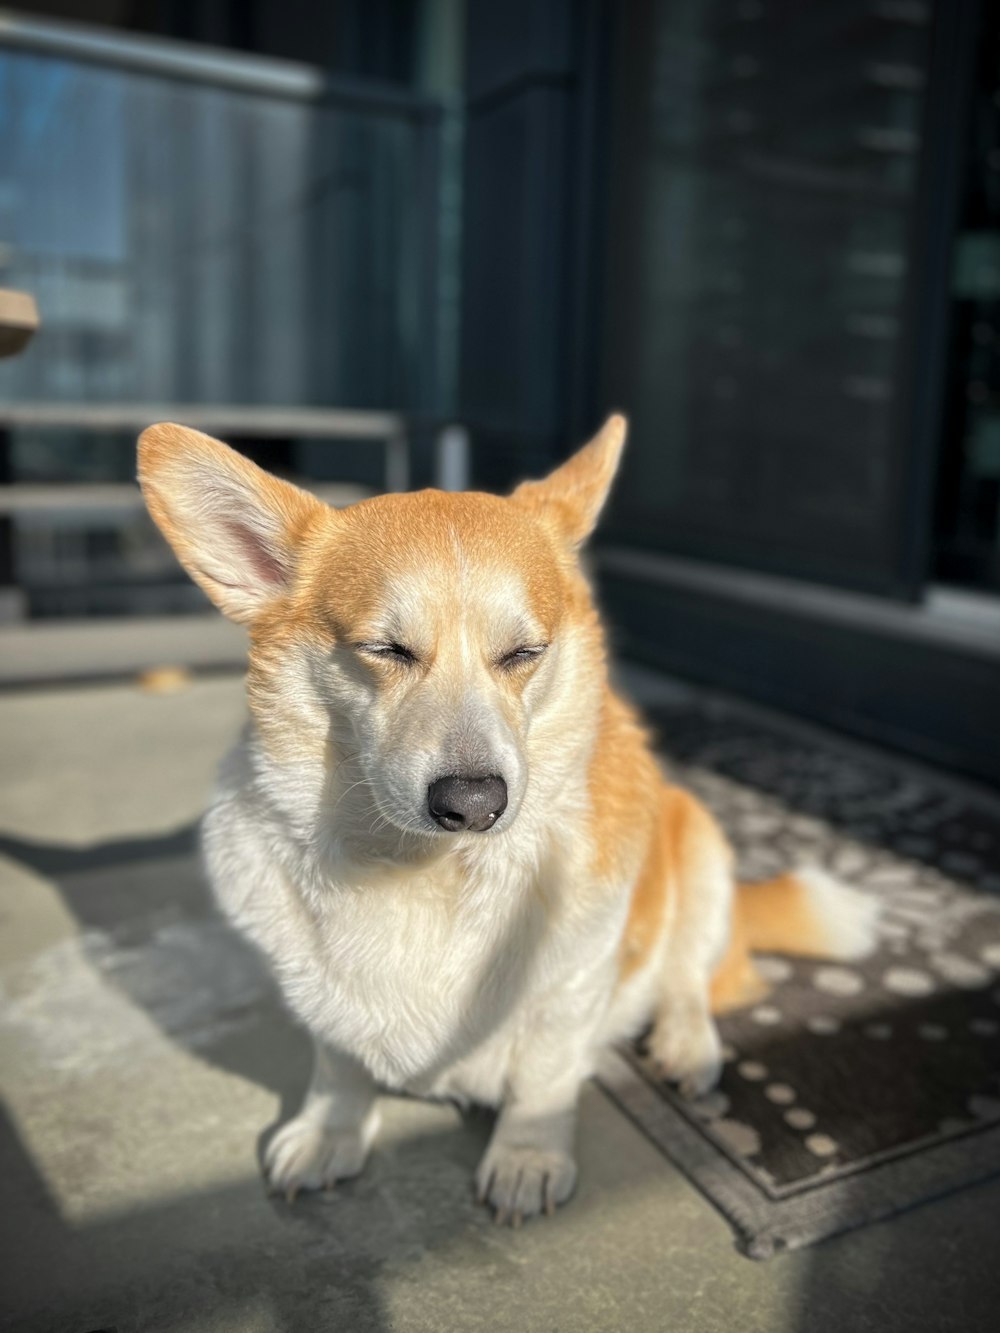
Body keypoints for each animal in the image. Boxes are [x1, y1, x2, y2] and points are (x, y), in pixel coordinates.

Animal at [139, 415, 874, 1221]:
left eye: (523, 652)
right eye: (386, 649)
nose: (472, 804)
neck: (421, 870)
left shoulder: (572, 984)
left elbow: (543, 1078)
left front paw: (526, 1159)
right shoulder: (322, 998)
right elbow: (339, 1063)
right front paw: (330, 1134)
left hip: (701, 848)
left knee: (690, 975)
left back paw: (687, 1046)